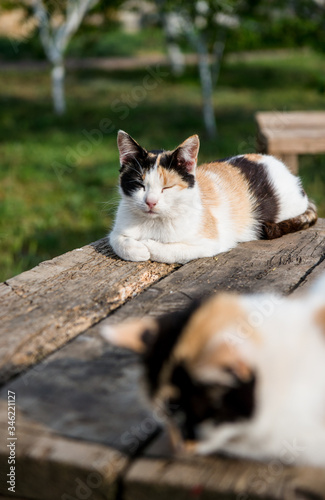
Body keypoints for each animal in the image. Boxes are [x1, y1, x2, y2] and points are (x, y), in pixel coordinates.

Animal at [107, 131, 316, 266]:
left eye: (167, 187)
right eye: (139, 184)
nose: (150, 202)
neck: (153, 223)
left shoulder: (212, 242)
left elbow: (173, 250)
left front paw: (147, 245)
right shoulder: (118, 227)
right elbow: (115, 239)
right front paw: (135, 248)